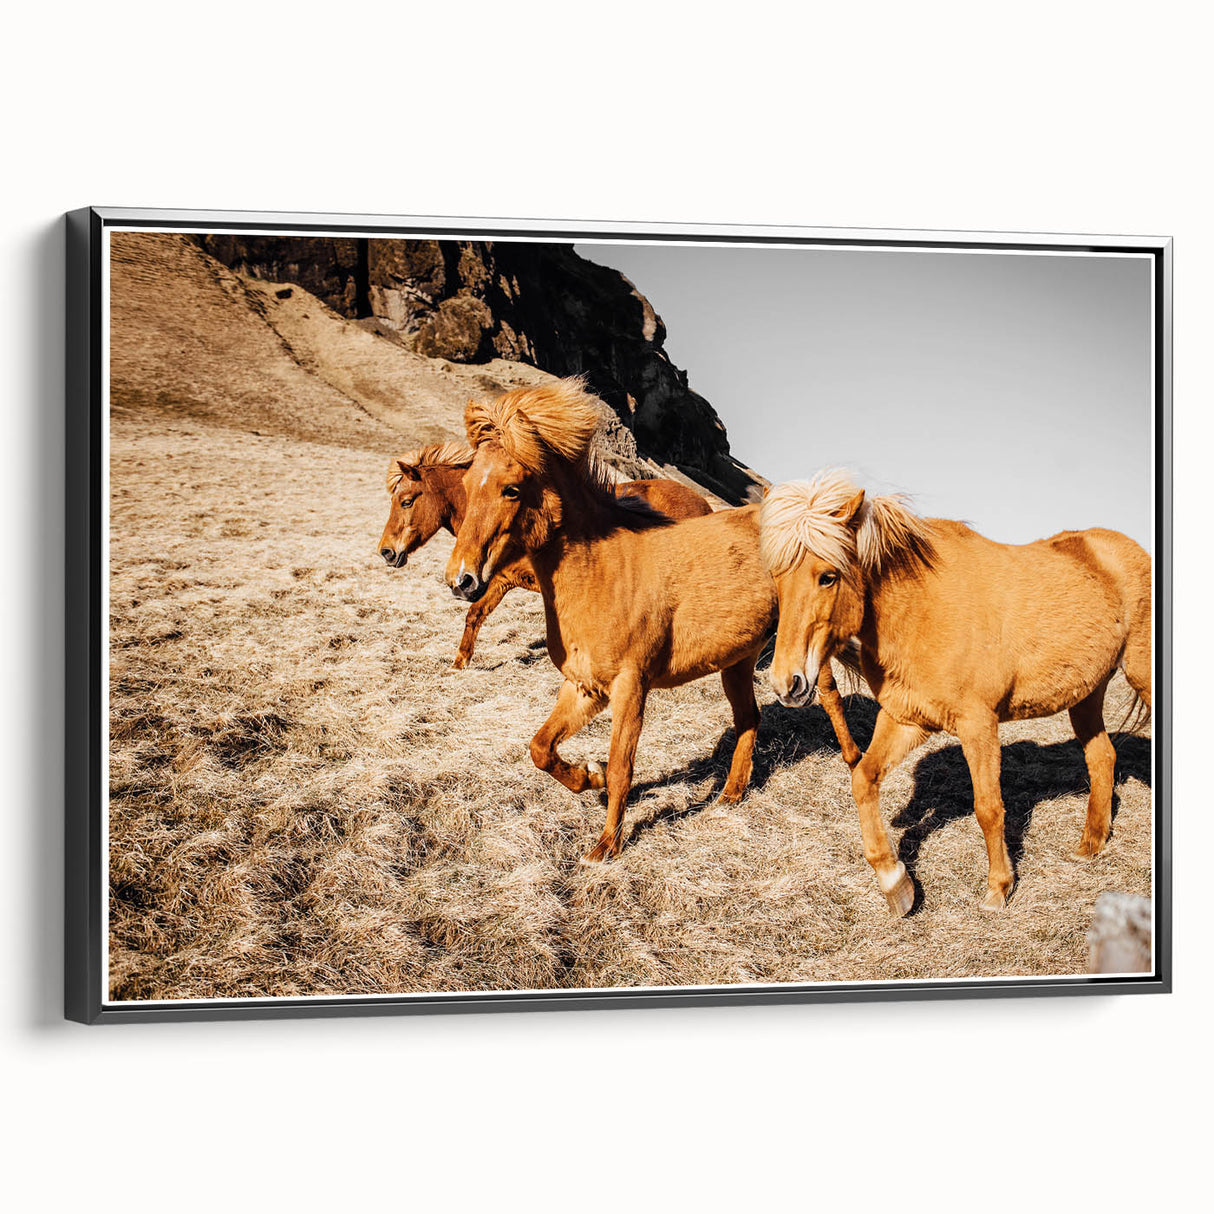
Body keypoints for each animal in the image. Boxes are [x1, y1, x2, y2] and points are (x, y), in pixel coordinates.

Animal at [378, 440, 713, 667]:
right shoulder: (499, 581)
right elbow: (475, 615)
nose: (386, 552)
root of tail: (703, 504)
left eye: (406, 501)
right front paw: (459, 664)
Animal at [442, 377, 861, 863]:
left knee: (828, 694)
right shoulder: (584, 686)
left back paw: (854, 760)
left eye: (511, 489)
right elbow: (540, 748)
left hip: (802, 645)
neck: (602, 571)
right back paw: (730, 795)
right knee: (749, 718)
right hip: (737, 661)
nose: (461, 580)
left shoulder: (630, 687)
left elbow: (623, 765)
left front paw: (606, 845)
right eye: (466, 483)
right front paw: (589, 777)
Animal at [760, 470, 1152, 914]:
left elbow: (988, 807)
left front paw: (999, 888)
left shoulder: (978, 724)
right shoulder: (906, 718)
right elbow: (863, 778)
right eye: (777, 577)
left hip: (1140, 674)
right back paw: (1090, 846)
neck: (922, 609)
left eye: (828, 576)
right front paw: (895, 882)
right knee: (1102, 758)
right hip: (1086, 695)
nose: (787, 683)